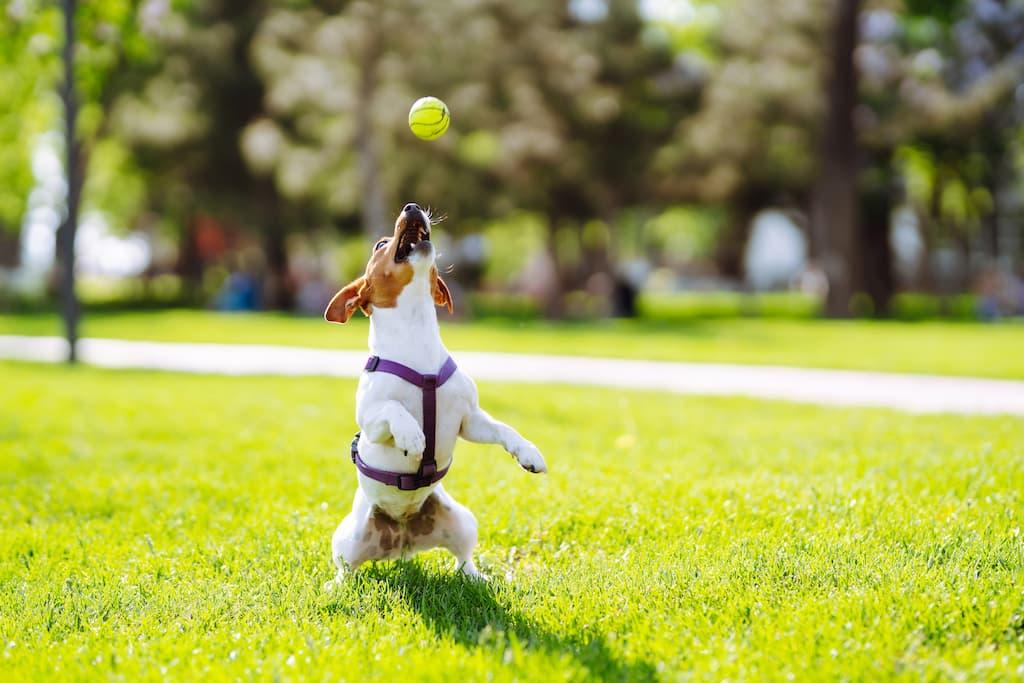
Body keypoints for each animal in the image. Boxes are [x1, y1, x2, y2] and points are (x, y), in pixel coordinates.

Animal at [323, 200, 548, 581]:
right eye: (380, 245)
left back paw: (478, 578)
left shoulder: (469, 420)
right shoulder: (370, 420)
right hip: (347, 539)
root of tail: (402, 536)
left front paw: (529, 453)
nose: (412, 206)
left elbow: (504, 429)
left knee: (463, 558)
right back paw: (336, 586)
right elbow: (394, 409)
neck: (416, 337)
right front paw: (412, 437)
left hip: (463, 521)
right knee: (347, 568)